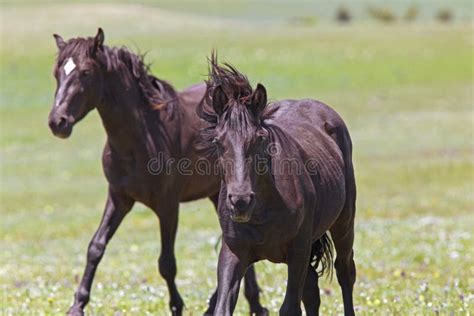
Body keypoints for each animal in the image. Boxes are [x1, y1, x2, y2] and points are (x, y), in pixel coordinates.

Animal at [47, 29, 266, 316]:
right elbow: (96, 247)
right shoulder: (119, 198)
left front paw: (177, 306)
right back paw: (253, 304)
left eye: (85, 72)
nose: (57, 122)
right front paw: (77, 305)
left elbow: (167, 262)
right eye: (57, 72)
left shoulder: (167, 205)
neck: (140, 139)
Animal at [198, 56, 358, 316]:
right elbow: (223, 307)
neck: (264, 211)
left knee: (345, 271)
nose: (241, 201)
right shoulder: (233, 252)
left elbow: (290, 307)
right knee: (312, 292)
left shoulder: (298, 252)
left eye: (260, 138)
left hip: (344, 222)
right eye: (217, 141)